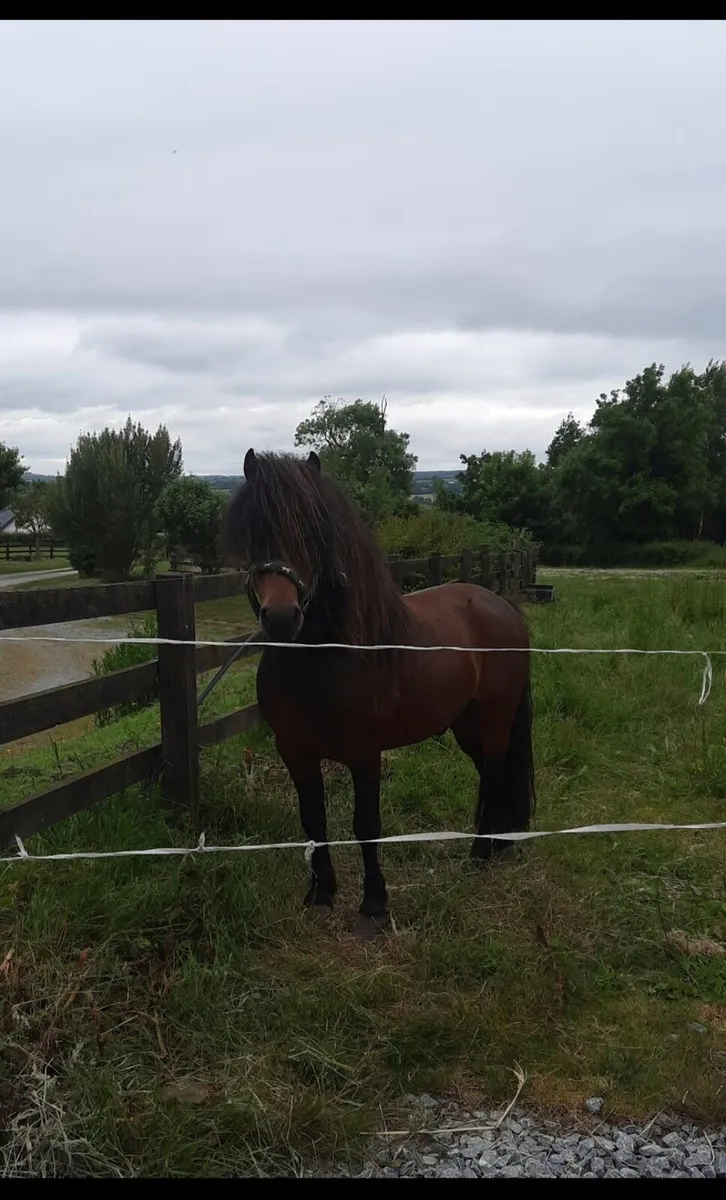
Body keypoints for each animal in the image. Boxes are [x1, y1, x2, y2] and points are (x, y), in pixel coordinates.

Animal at [222, 449, 535, 937]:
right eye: (254, 530)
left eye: (316, 531)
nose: (281, 618)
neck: (320, 660)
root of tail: (502, 605)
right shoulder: (295, 752)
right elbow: (313, 819)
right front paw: (321, 895)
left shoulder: (365, 753)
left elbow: (366, 823)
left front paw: (373, 907)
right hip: (465, 724)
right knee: (490, 772)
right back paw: (496, 846)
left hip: (494, 718)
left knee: (496, 772)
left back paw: (480, 856)